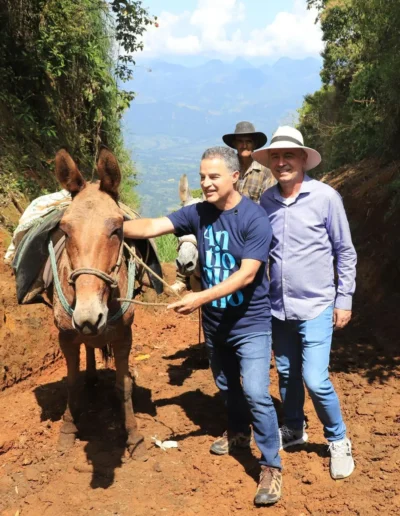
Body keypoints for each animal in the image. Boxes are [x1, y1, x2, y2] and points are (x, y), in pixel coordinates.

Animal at [50, 148, 147, 456]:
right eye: (65, 230)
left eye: (117, 229)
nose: (89, 316)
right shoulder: (66, 336)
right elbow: (72, 382)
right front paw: (68, 430)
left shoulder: (124, 336)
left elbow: (124, 386)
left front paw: (134, 437)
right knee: (89, 348)